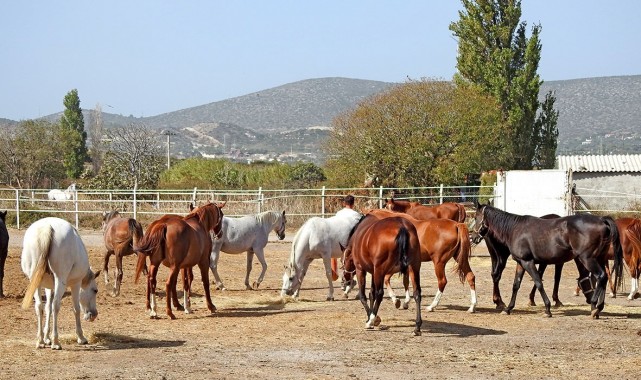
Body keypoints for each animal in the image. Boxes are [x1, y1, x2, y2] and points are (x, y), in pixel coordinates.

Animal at [20, 217, 100, 350]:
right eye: (95, 290)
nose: (93, 315)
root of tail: (47, 226)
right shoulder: (76, 284)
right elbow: (76, 309)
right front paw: (81, 337)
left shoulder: (48, 287)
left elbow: (47, 308)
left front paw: (46, 338)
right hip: (60, 281)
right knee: (56, 306)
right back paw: (56, 342)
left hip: (35, 281)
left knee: (39, 306)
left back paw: (40, 341)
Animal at [472, 203, 624, 320]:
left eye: (475, 217)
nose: (473, 237)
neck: (515, 229)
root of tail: (602, 220)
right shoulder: (521, 263)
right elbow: (516, 285)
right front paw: (508, 308)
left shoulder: (528, 262)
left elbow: (539, 282)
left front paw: (547, 309)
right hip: (599, 259)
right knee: (604, 278)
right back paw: (598, 308)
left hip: (588, 259)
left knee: (601, 276)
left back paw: (595, 306)